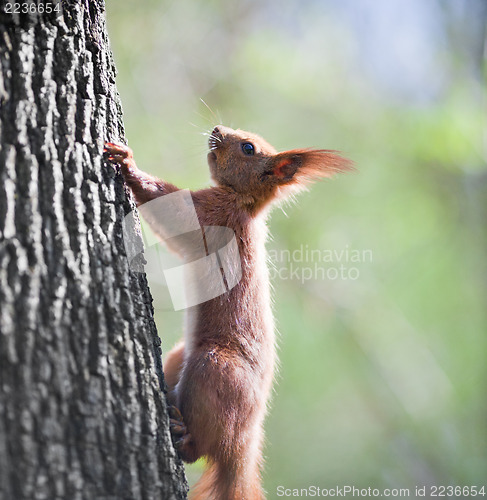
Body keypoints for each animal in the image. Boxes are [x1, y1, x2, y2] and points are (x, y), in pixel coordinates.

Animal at [105, 126, 352, 500]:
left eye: (248, 148)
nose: (217, 130)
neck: (244, 204)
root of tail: (243, 445)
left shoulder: (213, 214)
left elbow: (173, 208)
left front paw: (128, 163)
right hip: (180, 358)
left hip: (214, 370)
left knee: (205, 448)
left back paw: (183, 436)